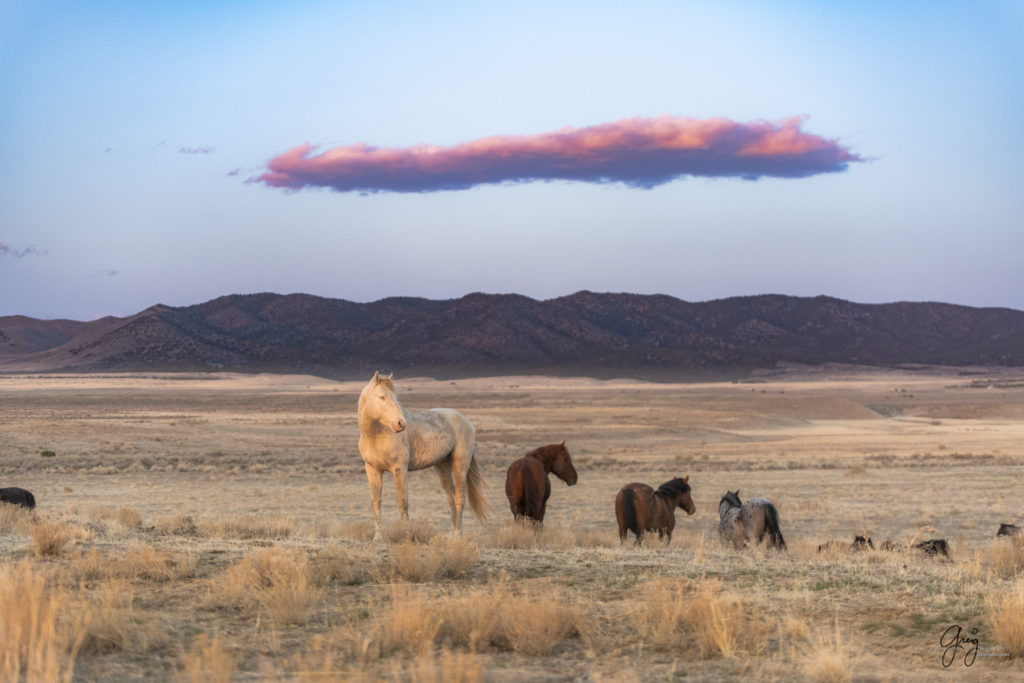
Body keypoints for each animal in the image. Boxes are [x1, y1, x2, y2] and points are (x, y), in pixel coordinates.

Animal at [358, 374, 489, 540]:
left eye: (396, 397)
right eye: (382, 397)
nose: (401, 423)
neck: (377, 435)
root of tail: (466, 421)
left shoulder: (399, 469)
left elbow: (402, 502)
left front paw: (408, 537)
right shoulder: (372, 470)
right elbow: (376, 502)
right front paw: (378, 537)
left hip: (460, 465)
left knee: (460, 497)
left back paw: (458, 535)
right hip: (442, 466)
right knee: (451, 498)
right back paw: (451, 534)